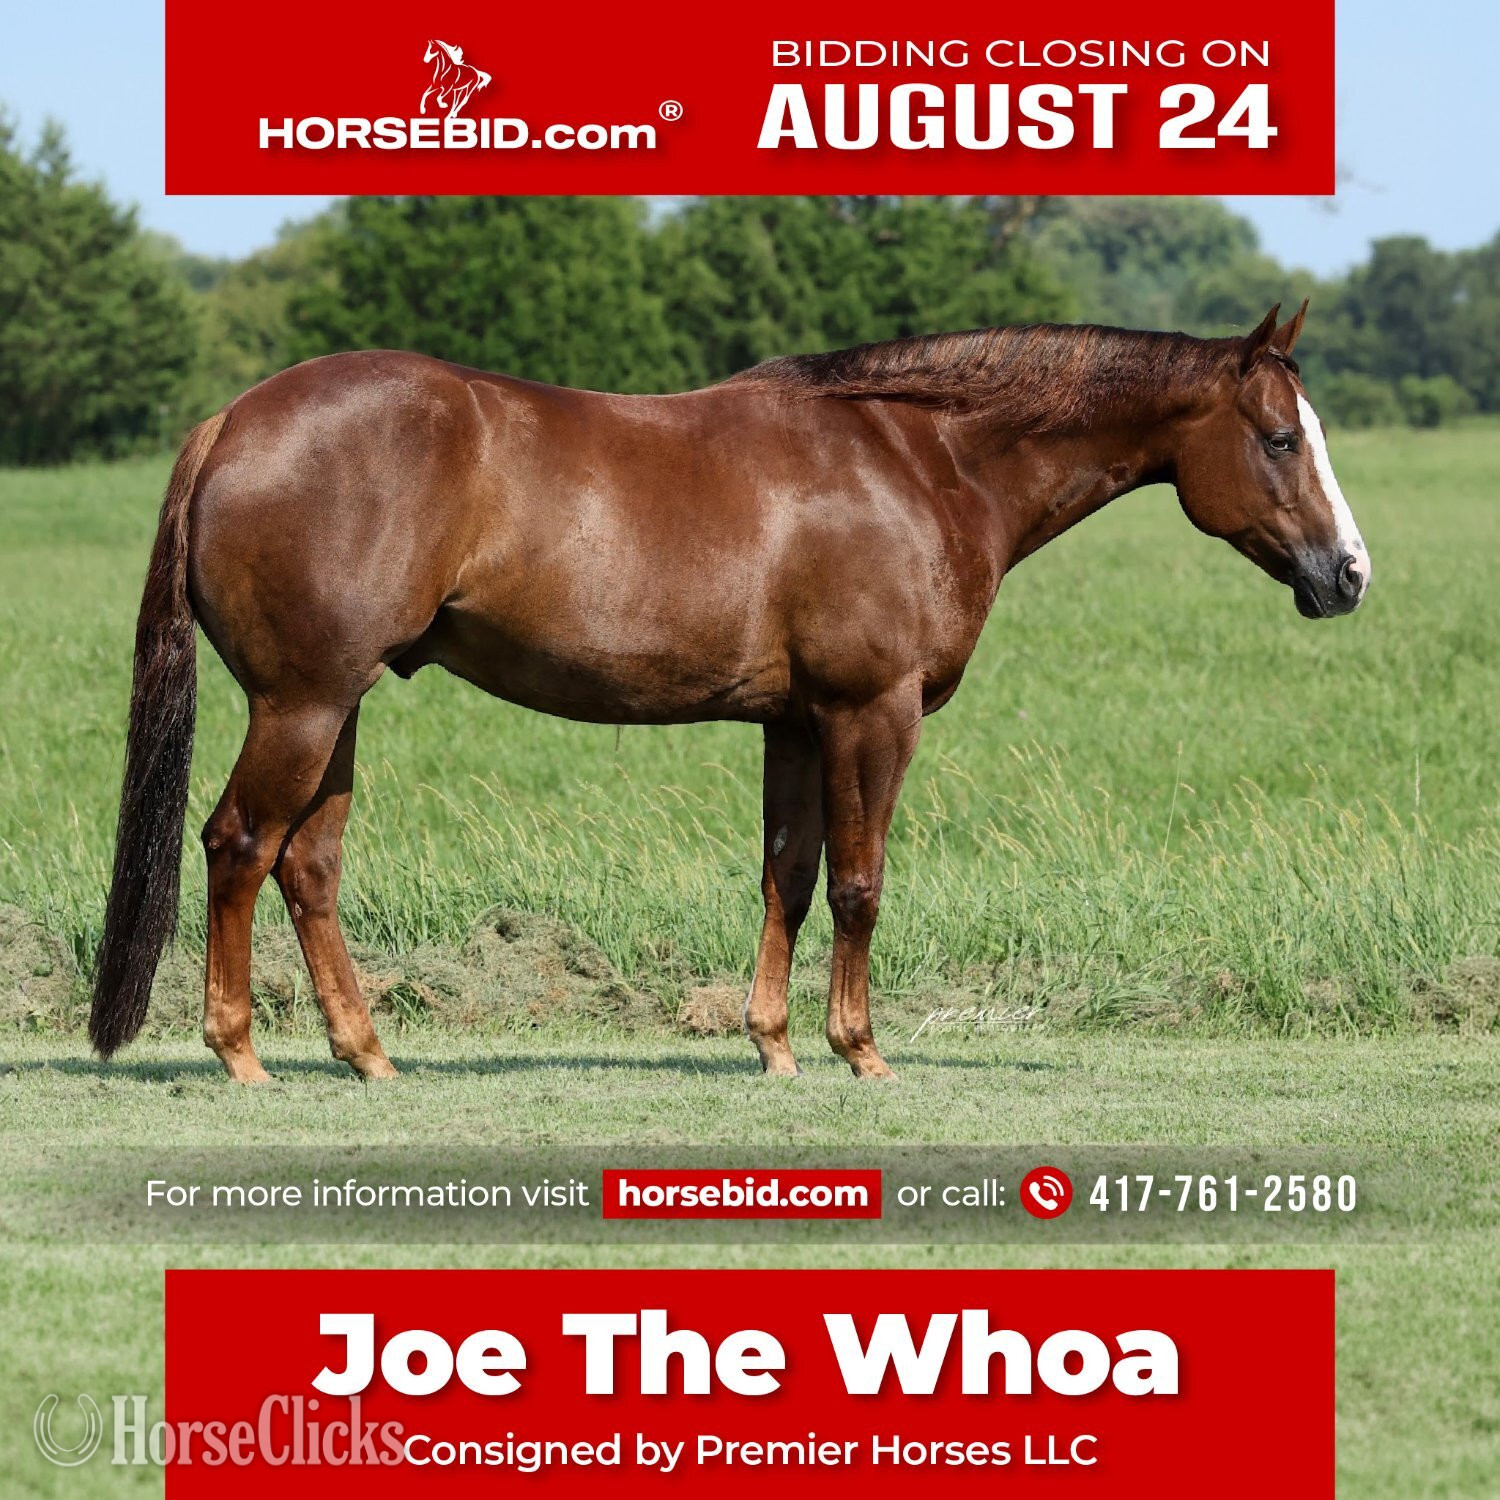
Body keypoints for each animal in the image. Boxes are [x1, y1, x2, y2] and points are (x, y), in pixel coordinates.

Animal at [88, 302, 1369, 1083]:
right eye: (1279, 440)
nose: (1347, 574)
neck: (917, 461)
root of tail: (233, 422)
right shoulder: (870, 713)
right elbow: (858, 883)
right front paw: (860, 1050)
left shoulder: (794, 723)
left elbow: (789, 878)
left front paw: (776, 1046)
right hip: (301, 705)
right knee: (238, 844)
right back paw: (240, 1053)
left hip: (336, 708)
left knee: (308, 866)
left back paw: (367, 1053)